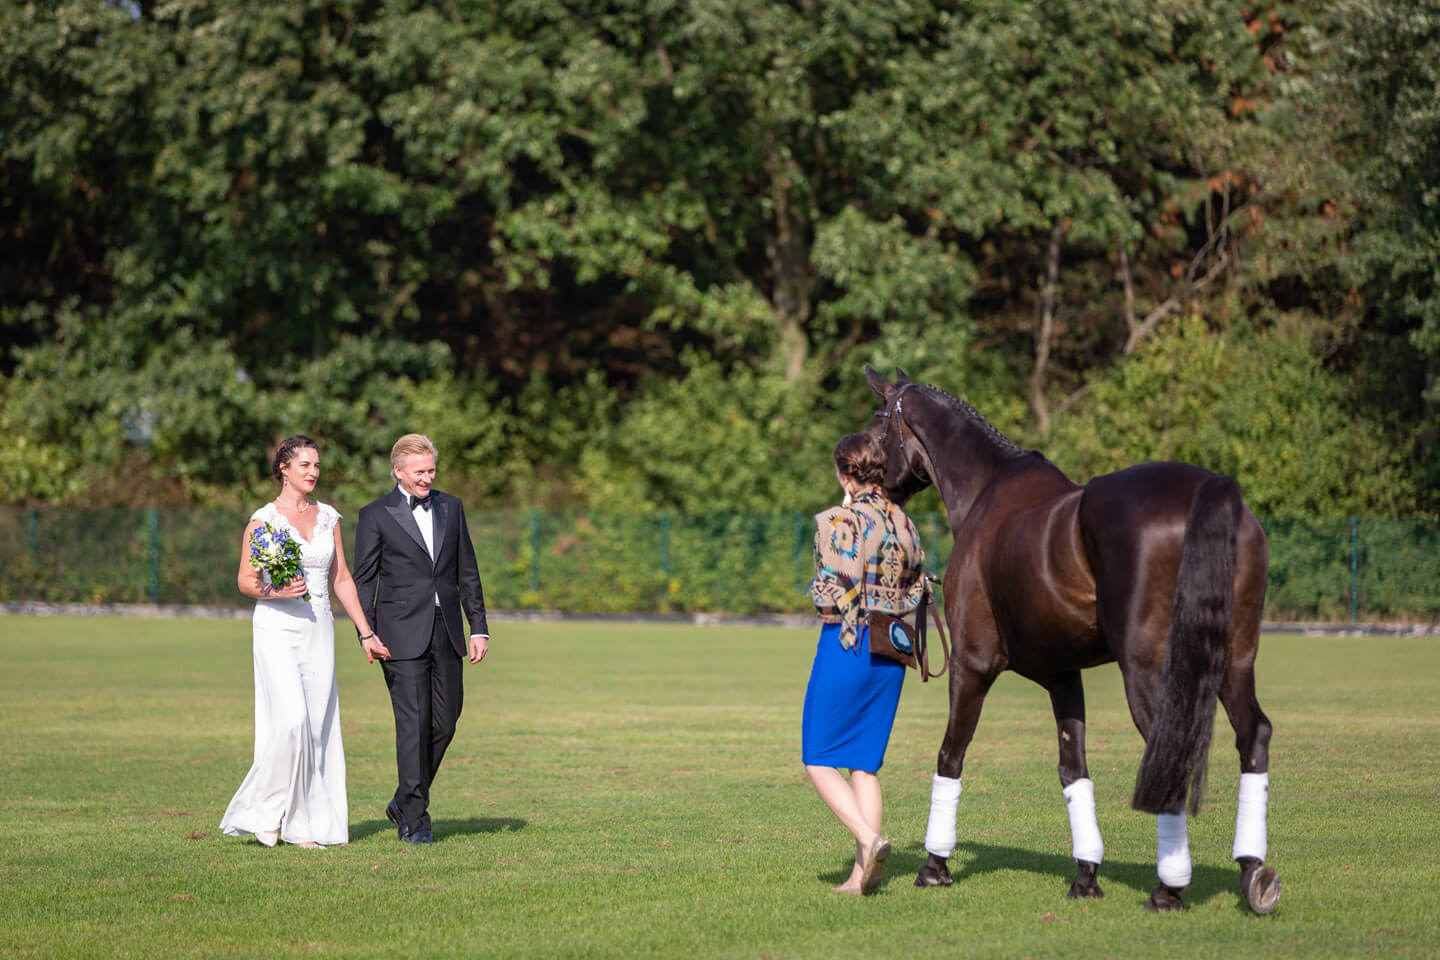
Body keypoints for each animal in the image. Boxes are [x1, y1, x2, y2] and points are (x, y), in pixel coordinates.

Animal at [863, 367, 1281, 914]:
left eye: (878, 419)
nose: (861, 467)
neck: (986, 492)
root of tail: (1210, 489)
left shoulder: (973, 665)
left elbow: (951, 755)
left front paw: (935, 866)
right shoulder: (1063, 675)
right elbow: (1073, 768)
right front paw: (1086, 876)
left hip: (1152, 672)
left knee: (1170, 752)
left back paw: (1168, 889)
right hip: (1232, 662)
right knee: (1253, 735)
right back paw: (1253, 873)